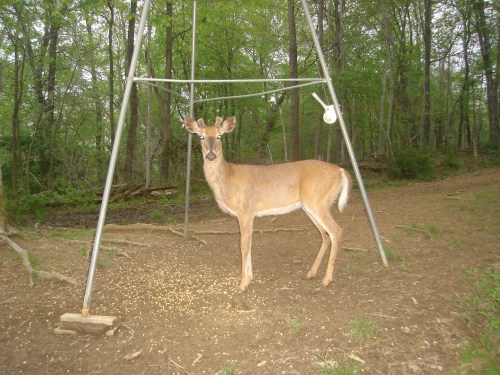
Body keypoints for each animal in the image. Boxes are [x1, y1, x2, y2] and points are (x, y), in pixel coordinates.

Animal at [186, 116, 354, 292]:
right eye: (201, 136)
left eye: (219, 136)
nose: (211, 155)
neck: (227, 179)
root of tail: (342, 171)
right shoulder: (248, 214)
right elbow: (249, 244)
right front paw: (250, 277)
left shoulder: (245, 210)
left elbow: (243, 246)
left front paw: (243, 283)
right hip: (310, 206)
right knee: (325, 235)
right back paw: (311, 273)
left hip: (318, 201)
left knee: (336, 231)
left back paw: (326, 279)